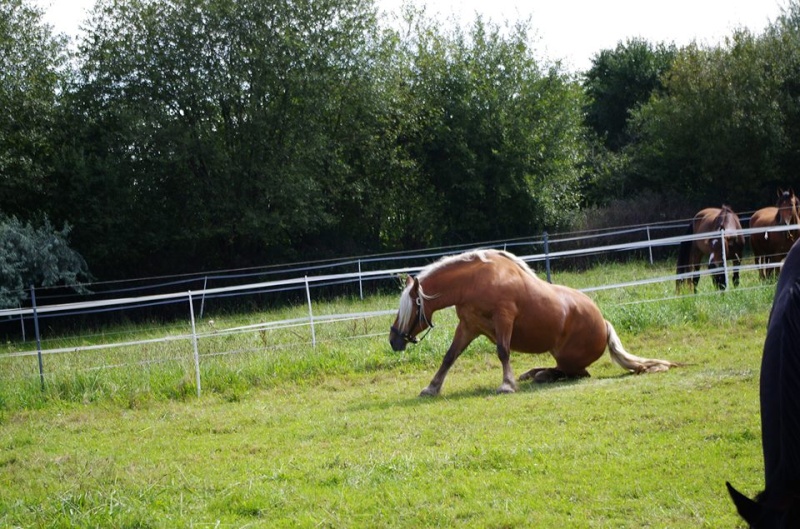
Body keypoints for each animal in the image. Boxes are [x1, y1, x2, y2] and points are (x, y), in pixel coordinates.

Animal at [390, 250, 680, 394]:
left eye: (408, 309)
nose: (393, 340)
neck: (475, 281)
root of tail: (604, 323)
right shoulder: (469, 326)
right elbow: (449, 357)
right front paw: (431, 388)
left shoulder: (504, 318)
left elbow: (503, 352)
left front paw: (506, 385)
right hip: (559, 354)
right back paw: (532, 373)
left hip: (569, 359)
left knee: (575, 373)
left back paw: (539, 376)